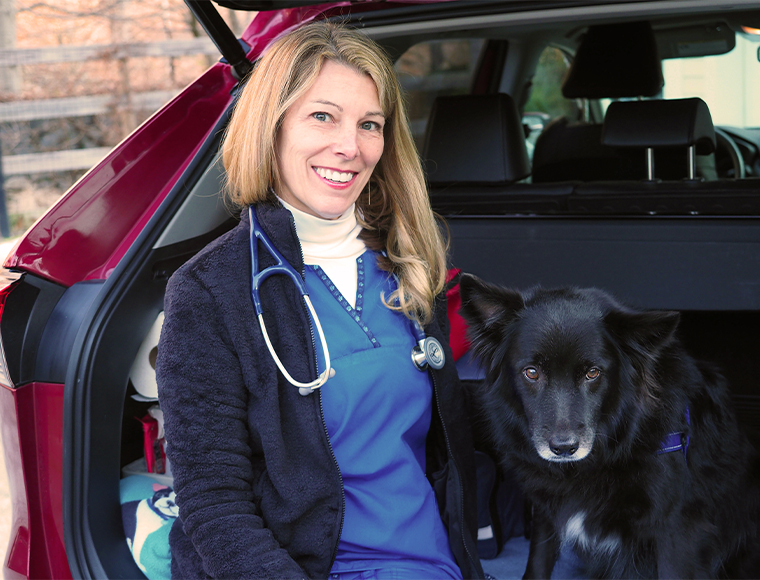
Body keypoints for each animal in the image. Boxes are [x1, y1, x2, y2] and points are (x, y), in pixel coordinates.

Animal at [458, 274, 760, 576]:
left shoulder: (679, 530)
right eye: (531, 372)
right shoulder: (546, 510)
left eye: (593, 373)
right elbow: (538, 562)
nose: (564, 448)